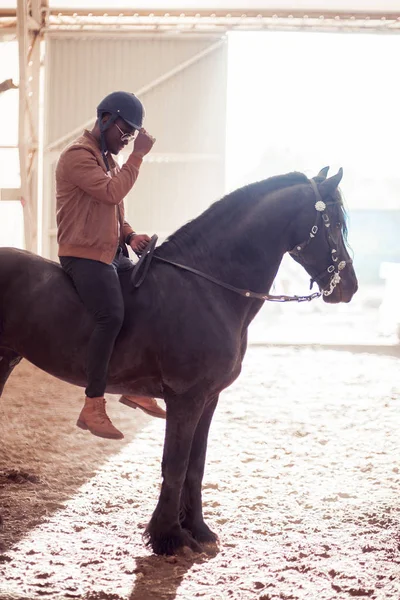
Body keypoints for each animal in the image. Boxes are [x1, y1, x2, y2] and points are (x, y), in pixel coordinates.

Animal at [0, 168, 356, 552]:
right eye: (334, 222)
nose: (350, 287)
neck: (207, 287)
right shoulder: (186, 399)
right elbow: (175, 464)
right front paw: (168, 536)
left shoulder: (208, 399)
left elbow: (195, 466)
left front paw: (197, 529)